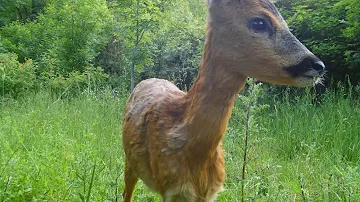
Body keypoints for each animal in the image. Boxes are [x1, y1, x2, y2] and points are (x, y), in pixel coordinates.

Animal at [122, 0, 324, 200]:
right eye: (259, 22)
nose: (318, 65)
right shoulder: (171, 191)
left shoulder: (210, 193)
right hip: (128, 158)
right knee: (126, 192)